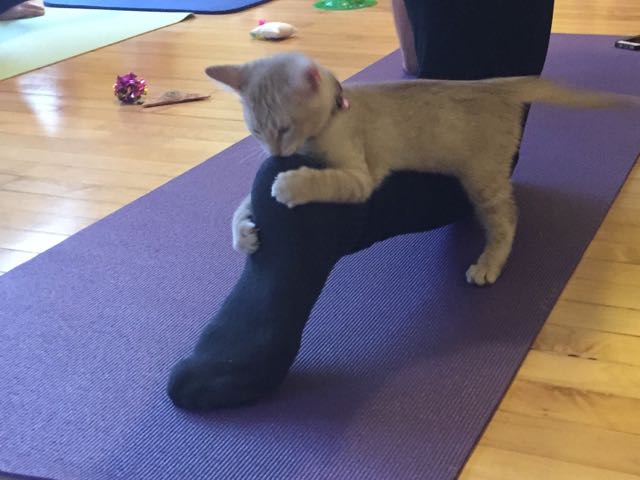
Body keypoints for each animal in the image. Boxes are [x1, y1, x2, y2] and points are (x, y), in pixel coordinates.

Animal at [209, 53, 624, 284]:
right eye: (255, 131)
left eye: (284, 128)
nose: (275, 152)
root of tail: (494, 85)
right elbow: (243, 203)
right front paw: (242, 234)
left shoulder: (360, 177)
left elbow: (324, 181)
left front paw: (290, 184)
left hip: (483, 180)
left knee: (507, 219)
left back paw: (488, 264)